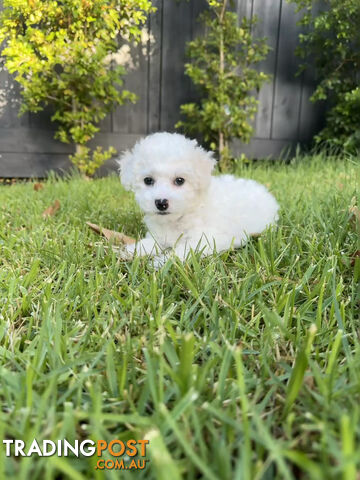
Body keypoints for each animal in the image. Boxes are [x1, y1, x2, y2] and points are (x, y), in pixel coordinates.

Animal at [118, 132, 278, 262]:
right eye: (148, 180)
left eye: (180, 180)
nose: (161, 203)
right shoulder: (159, 238)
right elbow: (148, 244)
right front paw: (129, 252)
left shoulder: (208, 240)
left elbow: (183, 251)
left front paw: (162, 262)